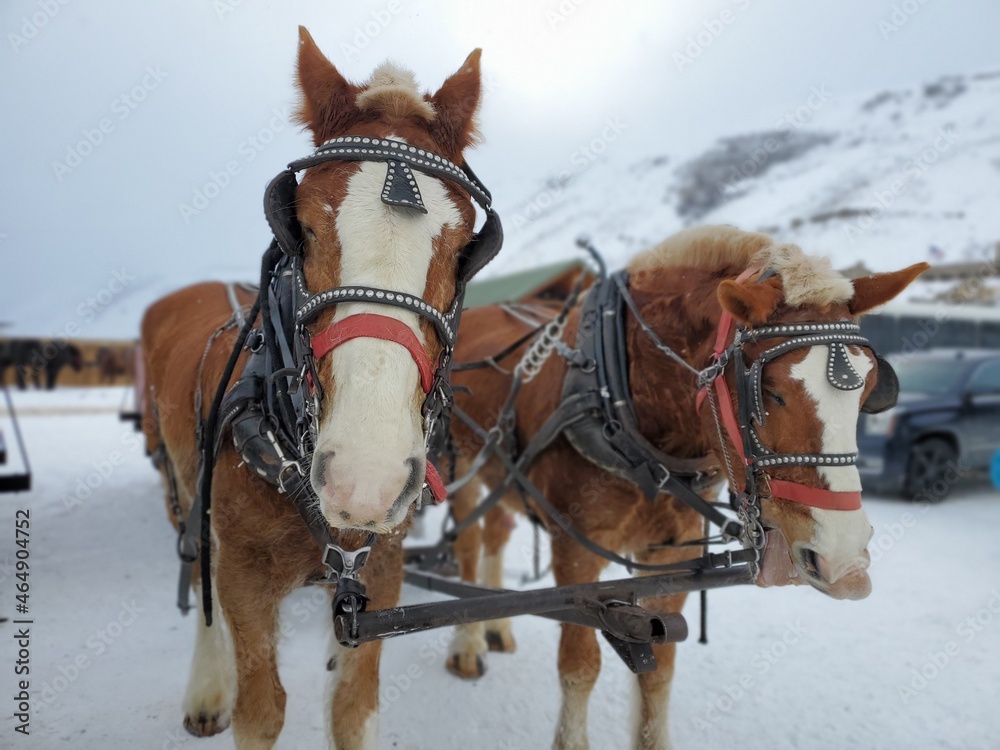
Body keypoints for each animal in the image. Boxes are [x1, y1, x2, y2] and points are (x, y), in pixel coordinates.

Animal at [144, 26, 488, 748]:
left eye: (466, 245)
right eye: (298, 225)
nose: (367, 478)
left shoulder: (379, 575)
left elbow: (353, 708)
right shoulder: (243, 579)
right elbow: (261, 708)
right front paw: (227, 689)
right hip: (187, 488)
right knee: (196, 563)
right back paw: (206, 683)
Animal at [448, 226, 928, 748]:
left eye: (870, 388)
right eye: (769, 391)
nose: (845, 564)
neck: (622, 396)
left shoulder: (672, 554)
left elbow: (658, 674)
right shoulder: (575, 552)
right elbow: (579, 668)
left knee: (495, 532)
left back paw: (495, 628)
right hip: (459, 465)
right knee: (468, 544)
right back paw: (468, 645)